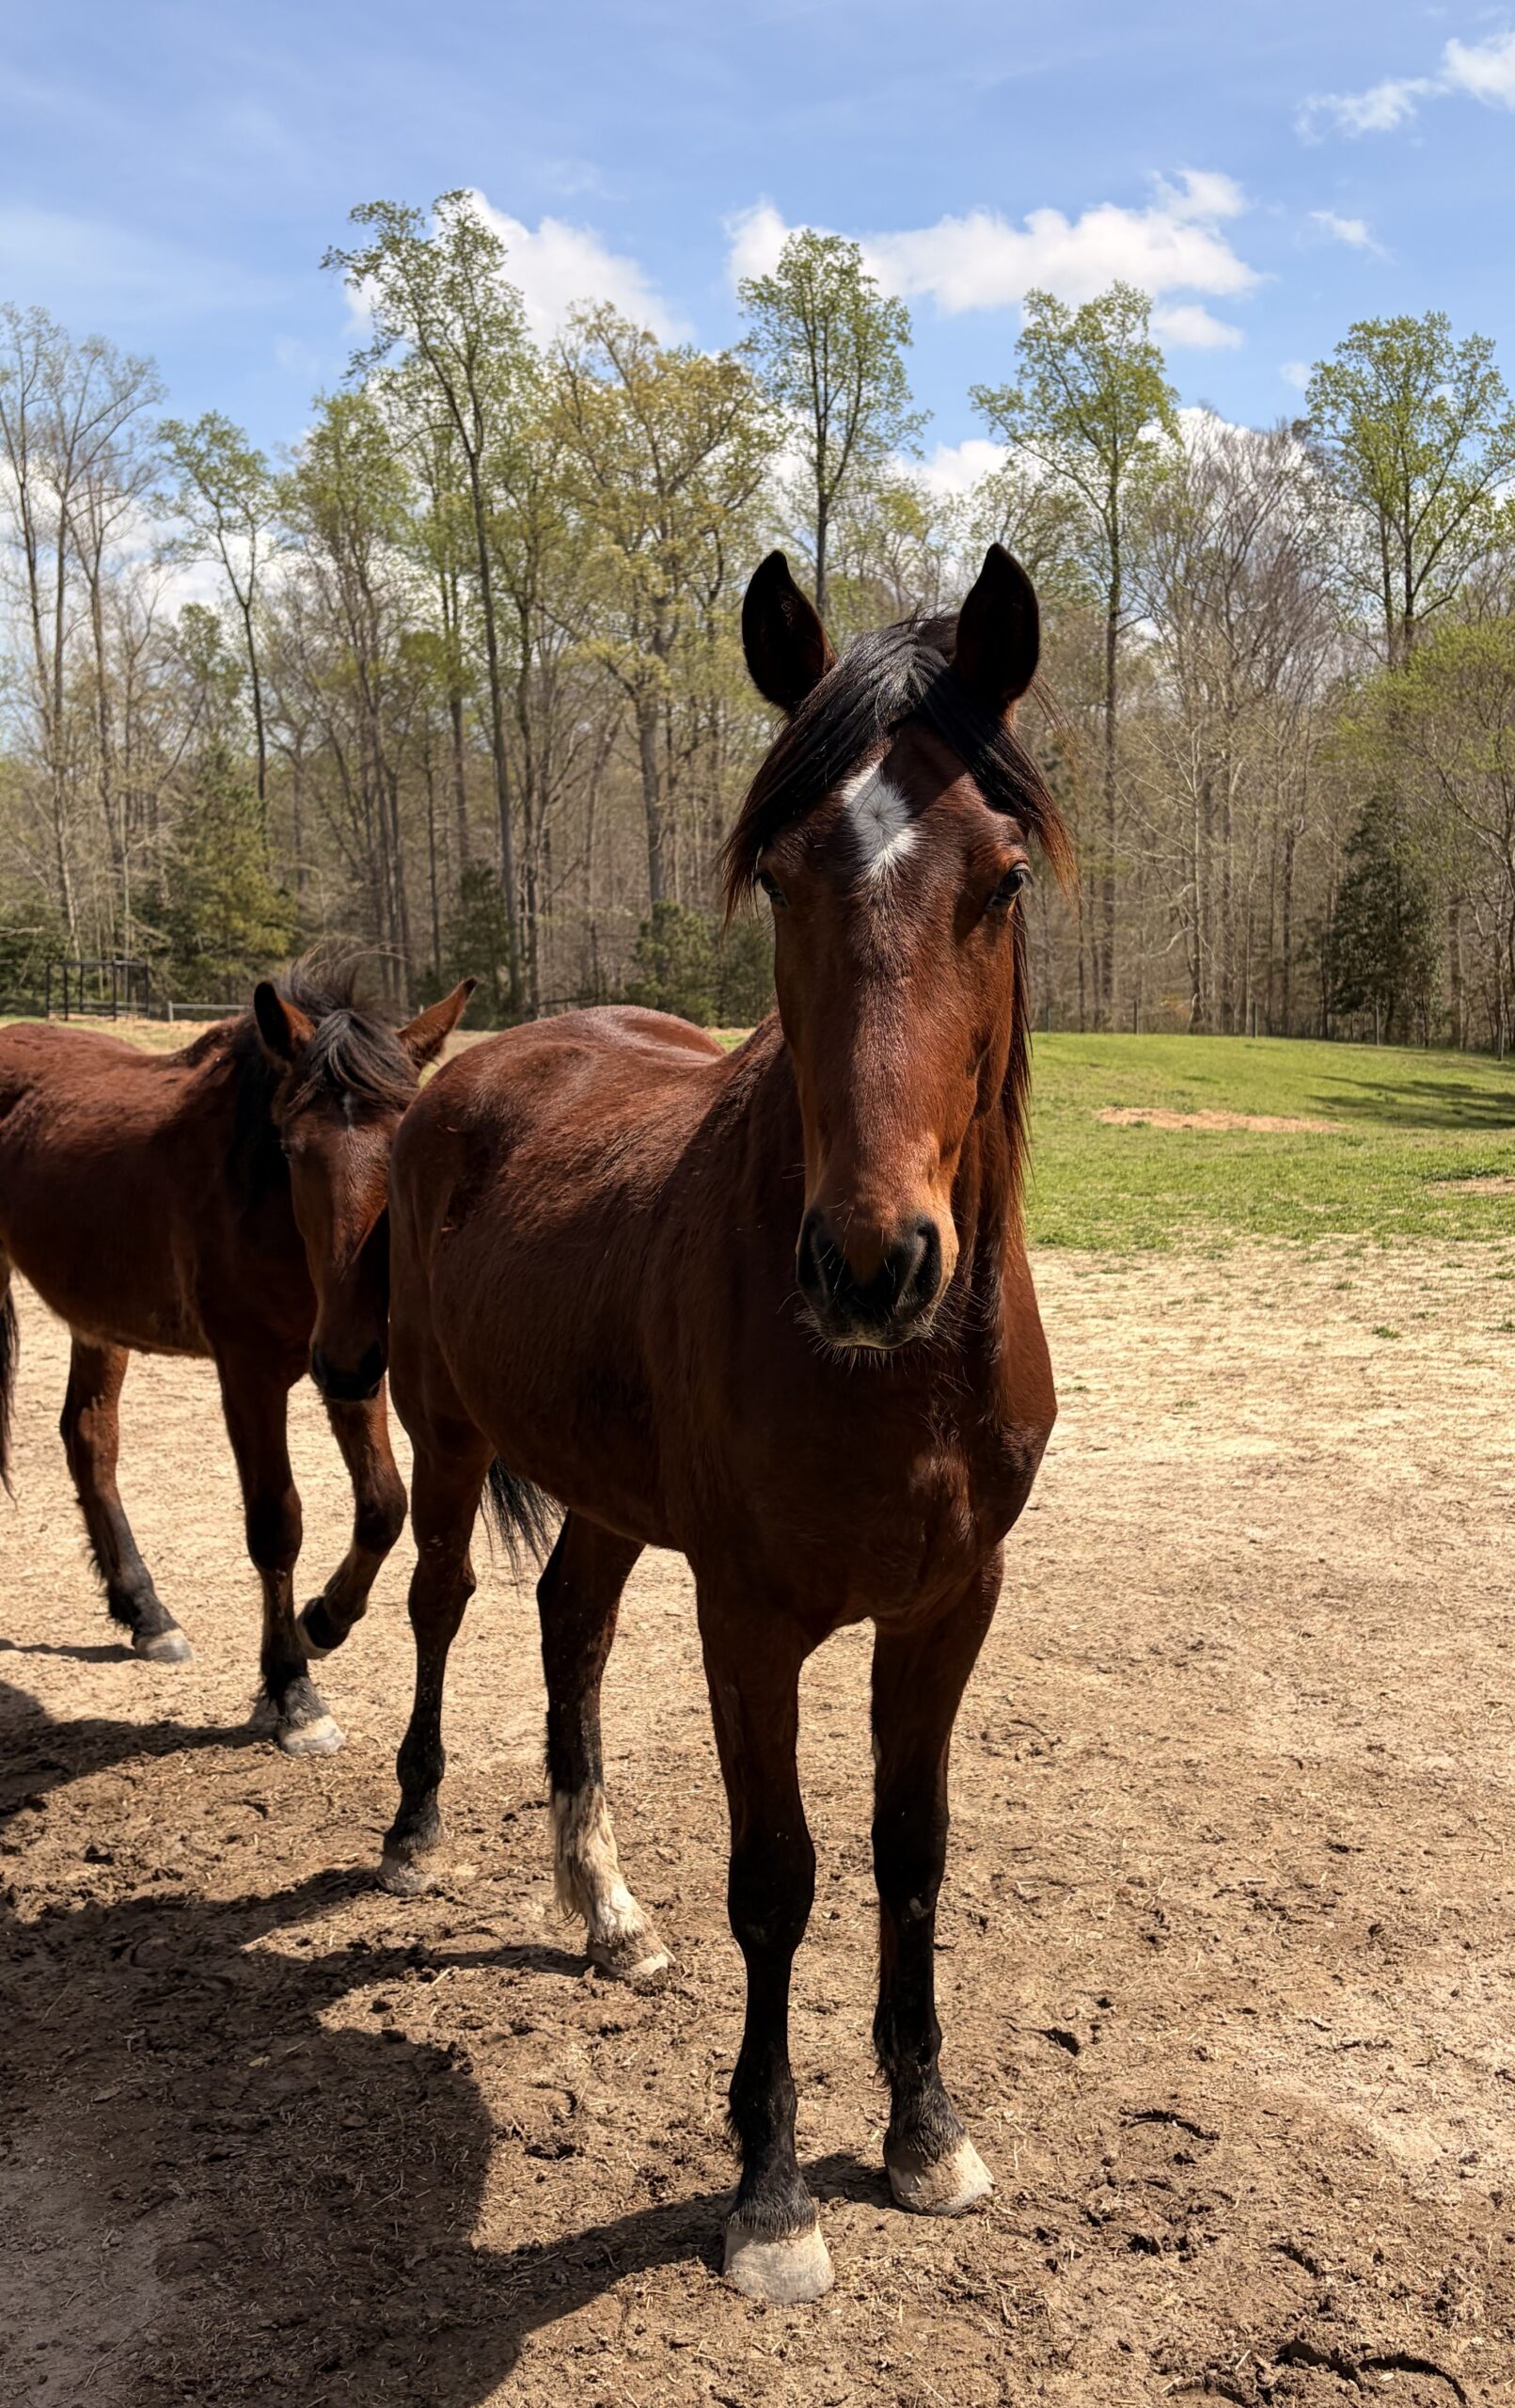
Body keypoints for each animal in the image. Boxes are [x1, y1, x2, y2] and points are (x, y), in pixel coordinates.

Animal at [0, 960, 473, 1753]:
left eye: (404, 1145)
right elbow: (276, 1524)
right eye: (288, 1151)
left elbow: (383, 1504)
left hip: (98, 1321)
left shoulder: (353, 1362)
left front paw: (323, 1621)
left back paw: (146, 1613)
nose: (344, 1359)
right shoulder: (251, 1373)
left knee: (89, 1436)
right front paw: (293, 1693)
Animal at [379, 544, 1072, 2302]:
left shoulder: (948, 1608)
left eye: (1000, 880)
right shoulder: (749, 1617)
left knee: (568, 1629)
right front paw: (767, 2192)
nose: (875, 1264)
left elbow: (910, 1853)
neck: (894, 1378)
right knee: (438, 1606)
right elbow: (780, 1879)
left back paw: (604, 1908)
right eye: (776, 872)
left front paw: (923, 2132)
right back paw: (413, 1830)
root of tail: (478, 1065)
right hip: (445, 1433)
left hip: (608, 1495)